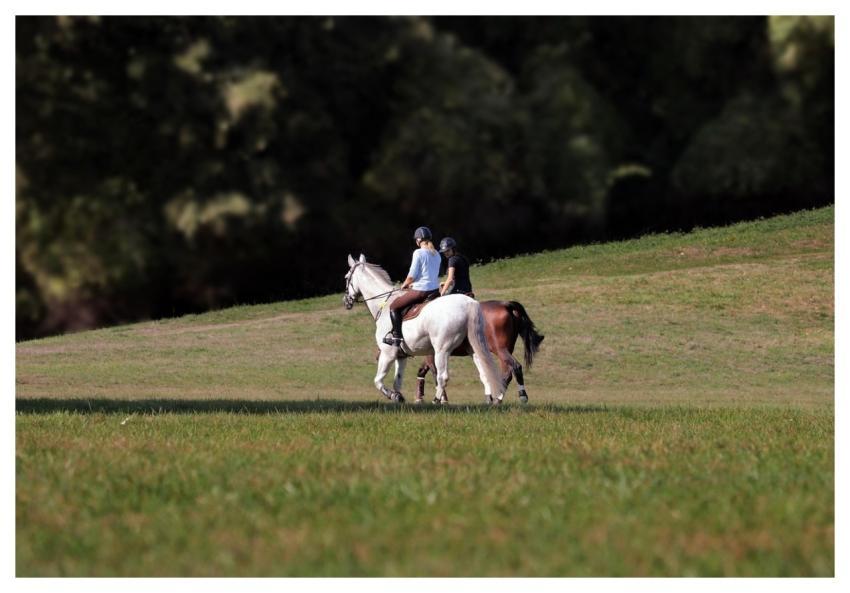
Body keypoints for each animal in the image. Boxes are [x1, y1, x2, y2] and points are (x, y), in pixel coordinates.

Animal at [343, 254, 505, 404]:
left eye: (346, 278)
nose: (346, 302)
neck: (384, 304)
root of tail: (468, 303)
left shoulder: (387, 353)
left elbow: (378, 381)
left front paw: (392, 395)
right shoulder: (401, 356)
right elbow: (397, 381)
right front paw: (398, 397)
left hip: (441, 350)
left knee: (442, 376)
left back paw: (436, 401)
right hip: (473, 349)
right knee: (484, 371)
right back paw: (490, 399)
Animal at [414, 300, 544, 405]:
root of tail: (505, 304)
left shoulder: (433, 354)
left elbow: (436, 375)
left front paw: (441, 399)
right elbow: (422, 371)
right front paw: (420, 397)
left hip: (500, 349)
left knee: (515, 367)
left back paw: (514, 396)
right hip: (505, 350)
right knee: (507, 372)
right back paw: (498, 398)